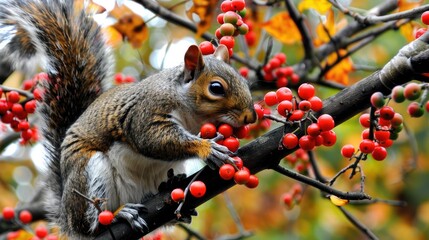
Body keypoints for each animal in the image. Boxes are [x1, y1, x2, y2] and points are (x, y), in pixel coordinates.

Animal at [0, 0, 254, 238]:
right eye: (216, 88)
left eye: (244, 82)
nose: (250, 117)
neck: (192, 115)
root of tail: (66, 217)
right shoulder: (145, 113)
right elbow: (152, 139)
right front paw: (207, 149)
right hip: (89, 172)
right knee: (92, 223)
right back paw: (116, 214)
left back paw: (171, 189)